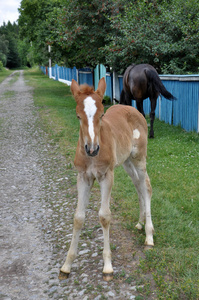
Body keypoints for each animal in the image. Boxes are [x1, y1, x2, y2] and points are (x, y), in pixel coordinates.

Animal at [59, 77, 155, 282]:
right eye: (78, 116)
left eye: (102, 115)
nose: (92, 148)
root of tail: (133, 109)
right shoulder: (83, 177)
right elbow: (78, 217)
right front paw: (66, 266)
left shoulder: (106, 176)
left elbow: (104, 216)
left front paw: (108, 267)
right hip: (126, 162)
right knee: (137, 185)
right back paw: (140, 222)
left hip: (139, 158)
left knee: (146, 186)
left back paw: (149, 236)